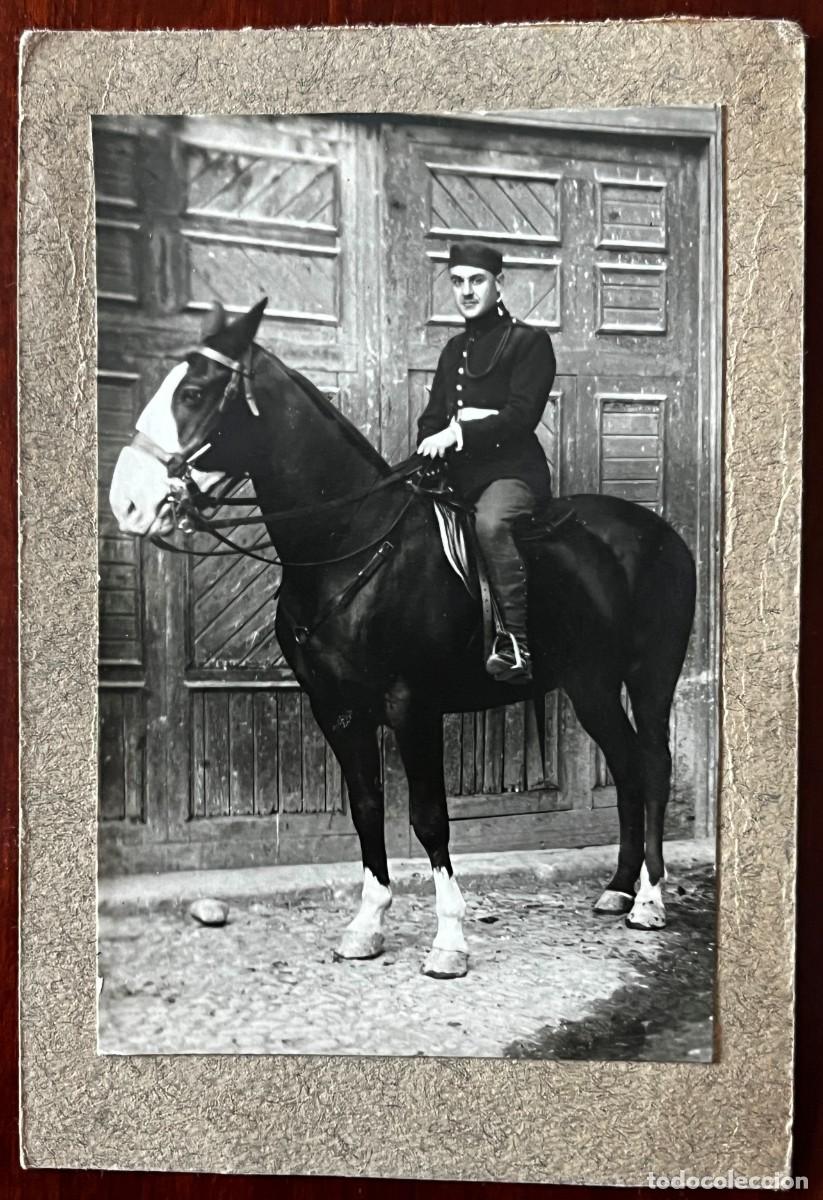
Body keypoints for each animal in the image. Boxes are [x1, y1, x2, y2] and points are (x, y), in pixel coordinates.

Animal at [109, 298, 697, 979]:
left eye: (195, 392)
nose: (126, 501)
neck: (350, 544)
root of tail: (661, 533)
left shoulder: (413, 707)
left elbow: (429, 818)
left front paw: (449, 940)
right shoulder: (336, 709)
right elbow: (367, 807)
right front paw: (367, 924)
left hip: (649, 678)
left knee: (652, 764)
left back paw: (649, 900)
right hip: (590, 685)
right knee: (626, 766)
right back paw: (619, 888)